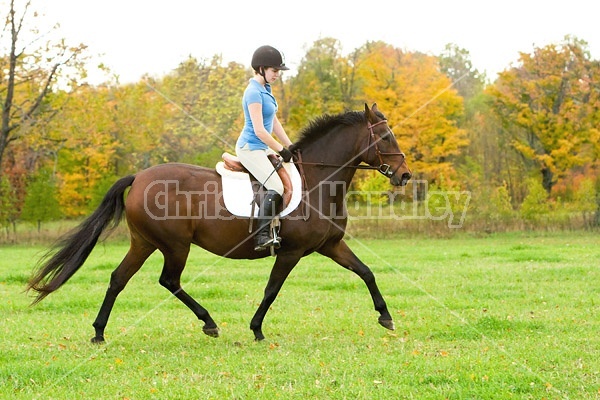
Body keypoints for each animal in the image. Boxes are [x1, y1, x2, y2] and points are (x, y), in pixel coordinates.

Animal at [28, 102, 412, 340]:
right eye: (385, 137)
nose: (405, 175)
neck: (318, 181)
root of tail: (138, 177)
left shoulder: (330, 245)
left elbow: (366, 272)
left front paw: (386, 317)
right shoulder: (291, 252)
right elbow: (272, 289)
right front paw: (256, 328)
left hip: (144, 242)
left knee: (118, 279)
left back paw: (98, 332)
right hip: (175, 245)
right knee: (169, 281)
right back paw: (209, 322)